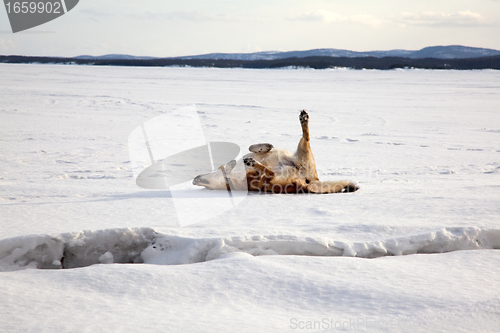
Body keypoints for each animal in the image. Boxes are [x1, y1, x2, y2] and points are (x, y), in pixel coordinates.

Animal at [192, 109, 360, 192]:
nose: (194, 179)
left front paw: (265, 146)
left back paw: (304, 119)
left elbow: (251, 147)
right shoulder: (253, 180)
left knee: (305, 137)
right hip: (291, 162)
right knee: (270, 172)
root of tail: (308, 181)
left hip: (302, 153)